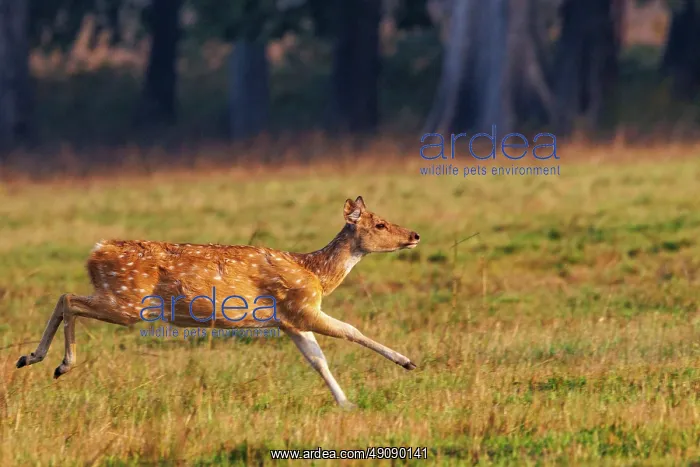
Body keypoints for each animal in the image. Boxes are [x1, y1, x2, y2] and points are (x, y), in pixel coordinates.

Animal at [16, 196, 421, 409]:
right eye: (380, 224)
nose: (415, 234)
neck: (317, 273)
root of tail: (96, 252)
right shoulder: (304, 308)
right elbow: (351, 329)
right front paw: (407, 362)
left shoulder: (290, 321)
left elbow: (318, 361)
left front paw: (346, 404)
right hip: (129, 301)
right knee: (69, 298)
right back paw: (59, 363)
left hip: (122, 298)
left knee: (64, 297)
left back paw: (30, 357)